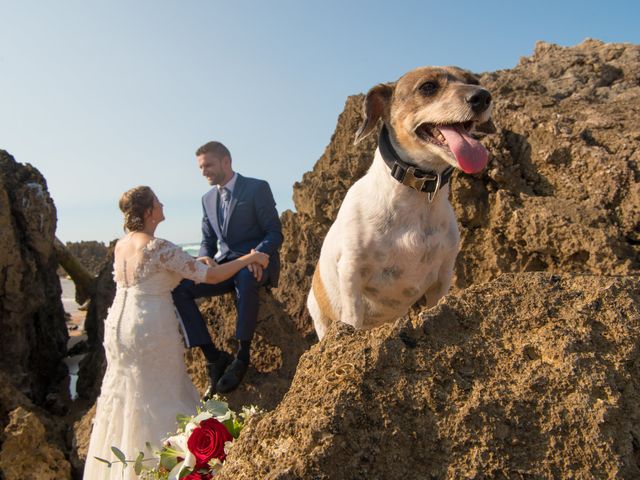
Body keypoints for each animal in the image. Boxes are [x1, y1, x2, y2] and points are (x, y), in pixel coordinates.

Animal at [308, 65, 492, 340]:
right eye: (428, 87)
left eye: (473, 80)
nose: (483, 96)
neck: (417, 197)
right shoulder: (351, 274)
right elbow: (352, 317)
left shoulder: (442, 279)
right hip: (321, 317)